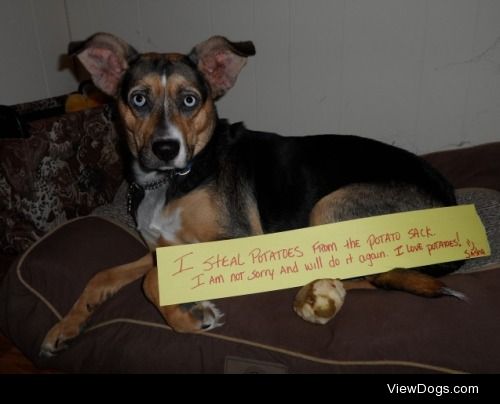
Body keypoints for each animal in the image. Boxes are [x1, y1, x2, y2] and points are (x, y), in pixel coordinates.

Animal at [40, 34, 464, 356]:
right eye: (138, 99)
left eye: (190, 100)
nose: (165, 148)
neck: (172, 180)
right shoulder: (161, 248)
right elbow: (103, 275)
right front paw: (64, 327)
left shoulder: (234, 238)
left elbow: (149, 282)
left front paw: (190, 317)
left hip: (331, 205)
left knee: (367, 274)